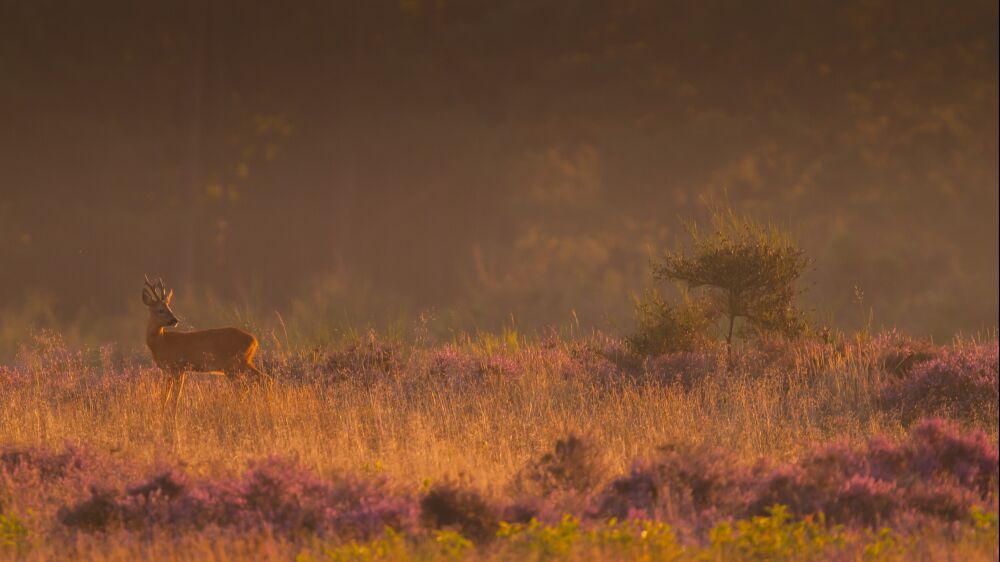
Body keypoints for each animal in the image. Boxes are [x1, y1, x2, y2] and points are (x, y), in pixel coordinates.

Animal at [144, 274, 270, 414]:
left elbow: (176, 395)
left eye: (169, 308)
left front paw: (173, 412)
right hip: (242, 362)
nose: (174, 320)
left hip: (234, 364)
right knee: (260, 380)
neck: (162, 342)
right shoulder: (168, 370)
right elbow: (165, 395)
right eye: (161, 310)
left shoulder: (178, 367)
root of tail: (254, 340)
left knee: (254, 382)